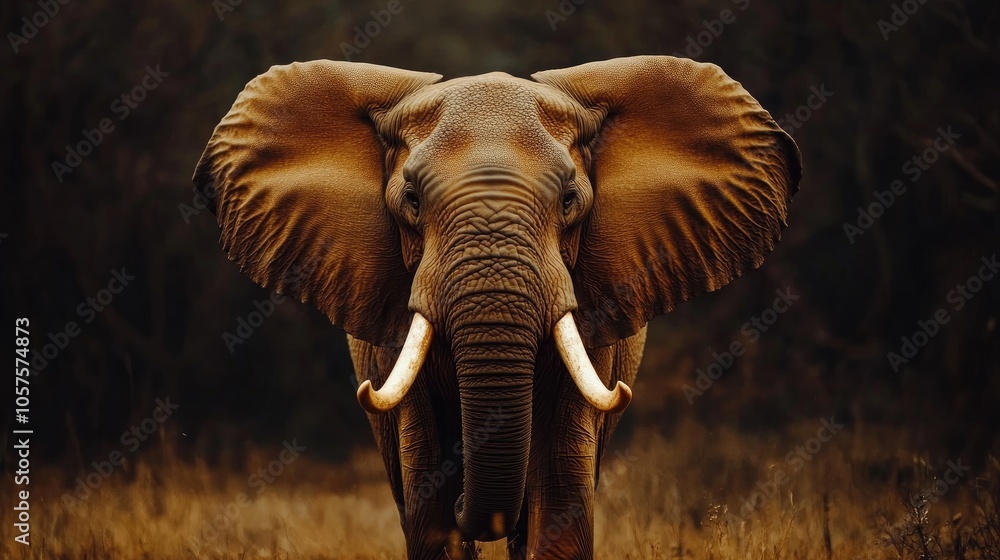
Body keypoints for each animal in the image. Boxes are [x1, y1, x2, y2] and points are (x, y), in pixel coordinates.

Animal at [193, 55, 801, 559]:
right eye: (411, 201)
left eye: (570, 201)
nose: (471, 505)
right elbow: (428, 512)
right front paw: (448, 504)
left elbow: (559, 506)